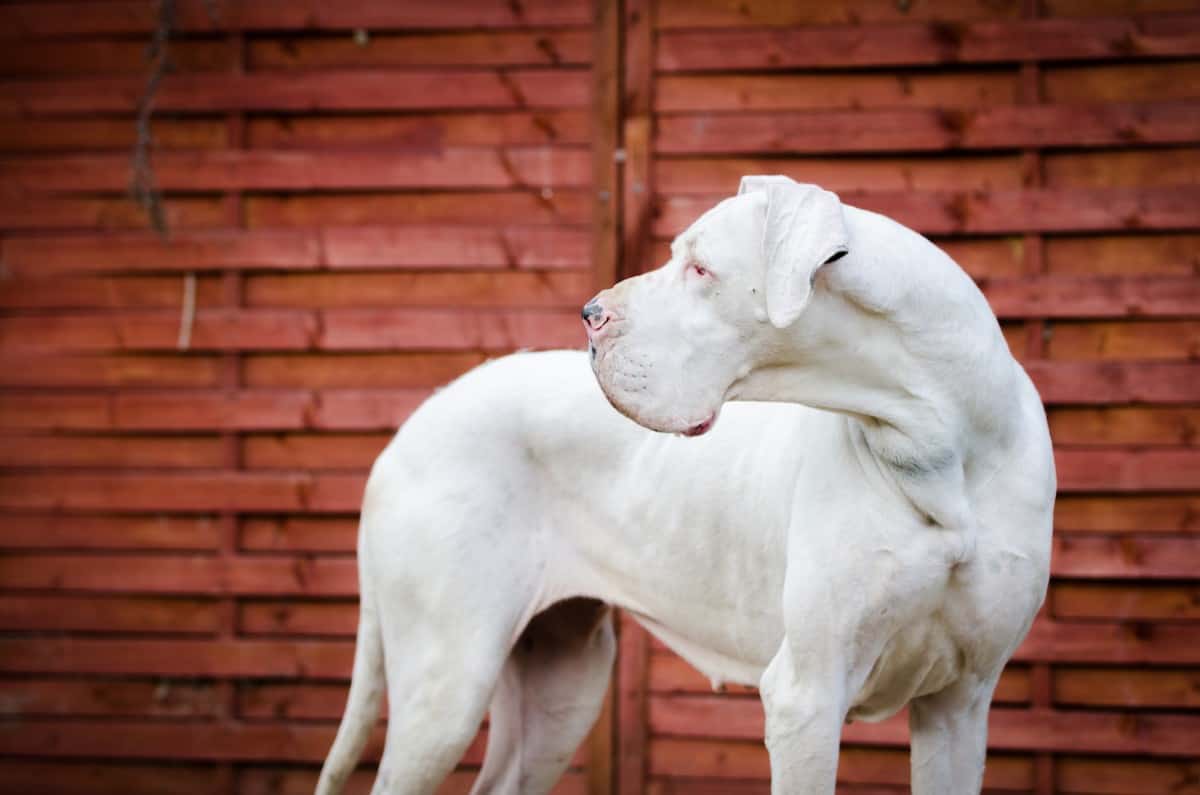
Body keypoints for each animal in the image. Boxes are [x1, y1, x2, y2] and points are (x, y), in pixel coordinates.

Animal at [314, 177, 1056, 792]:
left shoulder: (960, 705)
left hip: (559, 689)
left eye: (701, 269)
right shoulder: (806, 697)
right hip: (446, 686)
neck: (940, 447)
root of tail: (413, 423)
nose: (590, 313)